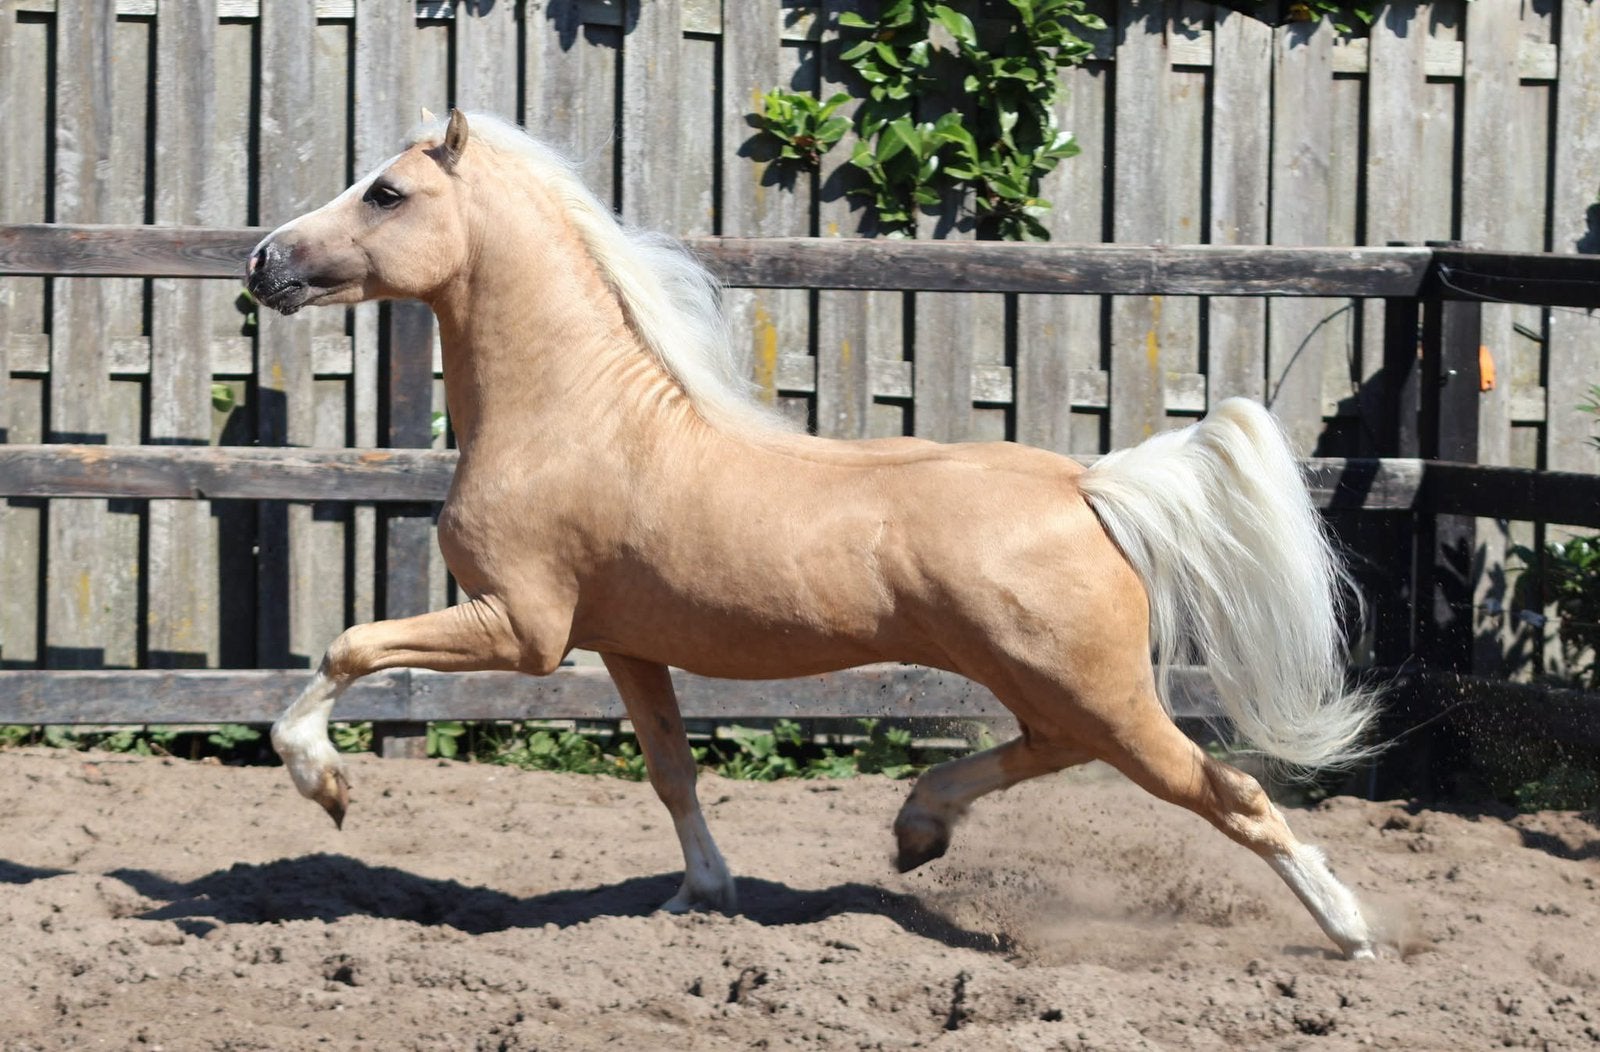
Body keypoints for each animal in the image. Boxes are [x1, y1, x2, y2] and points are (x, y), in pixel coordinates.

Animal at [245, 108, 1383, 959]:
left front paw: (325, 783)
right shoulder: (626, 644)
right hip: (1056, 684)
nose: (264, 263)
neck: (574, 417)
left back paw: (1353, 930)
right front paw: (700, 897)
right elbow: (672, 771)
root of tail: (1087, 483)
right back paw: (918, 827)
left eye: (386, 193)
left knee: (1229, 790)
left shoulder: (522, 628)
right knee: (1047, 750)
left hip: (1096, 691)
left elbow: (349, 646)